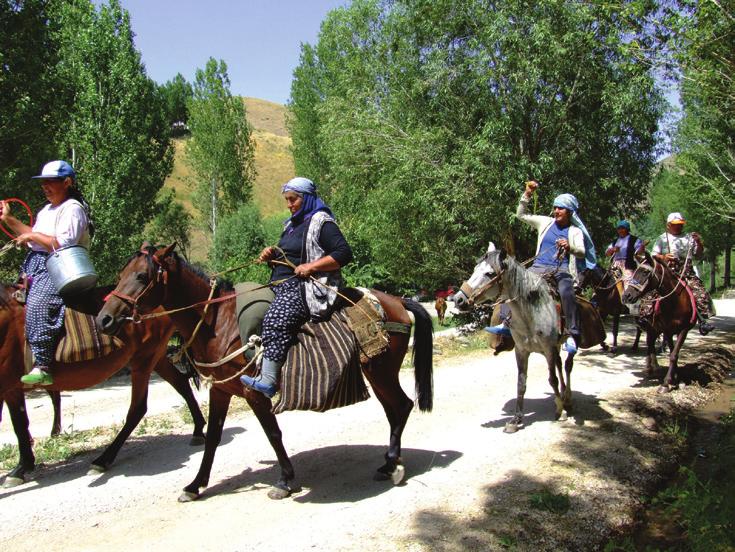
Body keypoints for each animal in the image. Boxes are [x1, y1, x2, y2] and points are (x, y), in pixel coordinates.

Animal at [0, 282, 207, 486]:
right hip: (156, 358)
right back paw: (198, 430)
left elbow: (19, 425)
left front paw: (21, 468)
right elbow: (20, 424)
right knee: (181, 383)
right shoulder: (11, 389)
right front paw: (22, 467)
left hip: (144, 359)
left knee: (138, 408)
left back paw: (103, 459)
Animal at [95, 244, 434, 502]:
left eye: (142, 276)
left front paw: (285, 480)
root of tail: (397, 301)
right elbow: (213, 437)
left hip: (381, 371)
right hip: (377, 373)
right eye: (120, 275)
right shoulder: (221, 389)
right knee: (395, 409)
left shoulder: (253, 391)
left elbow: (273, 433)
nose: (103, 319)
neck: (218, 322)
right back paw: (389, 464)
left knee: (402, 406)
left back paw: (392, 465)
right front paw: (195, 486)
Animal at [452, 244, 584, 434]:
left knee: (567, 366)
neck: (531, 312)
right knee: (560, 365)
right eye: (475, 269)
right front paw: (516, 420)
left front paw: (560, 410)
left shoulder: (548, 349)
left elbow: (552, 379)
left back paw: (567, 400)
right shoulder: (521, 351)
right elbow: (521, 383)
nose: (458, 299)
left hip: (565, 343)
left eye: (489, 273)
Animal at [620, 252, 696, 390]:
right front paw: (669, 381)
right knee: (649, 343)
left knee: (651, 342)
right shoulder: (667, 330)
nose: (626, 296)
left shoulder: (683, 330)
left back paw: (653, 367)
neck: (675, 302)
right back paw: (650, 368)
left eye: (645, 272)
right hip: (651, 327)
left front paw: (675, 379)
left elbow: (674, 354)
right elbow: (672, 352)